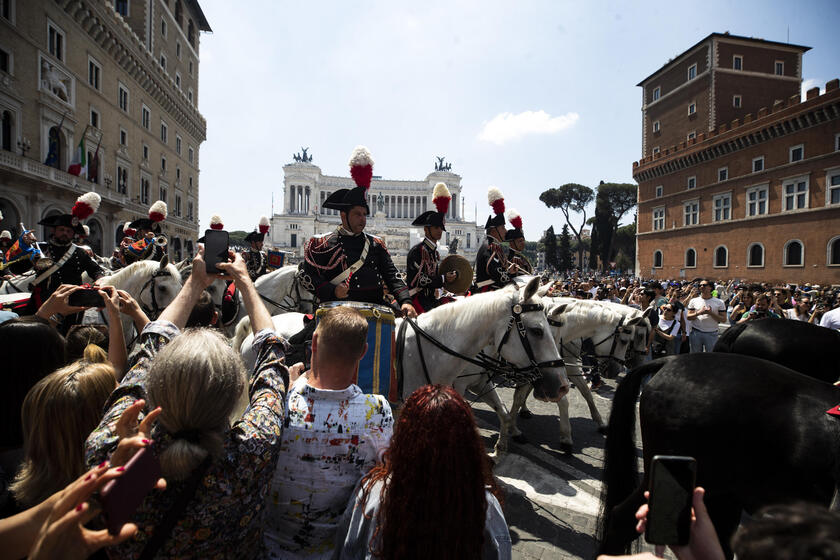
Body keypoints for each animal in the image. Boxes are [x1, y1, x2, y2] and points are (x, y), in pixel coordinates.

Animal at [236, 276, 572, 456]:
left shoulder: (475, 384)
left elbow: (502, 414)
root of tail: (256, 329)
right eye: (537, 330)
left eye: (550, 328)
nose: (561, 385)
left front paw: (501, 446)